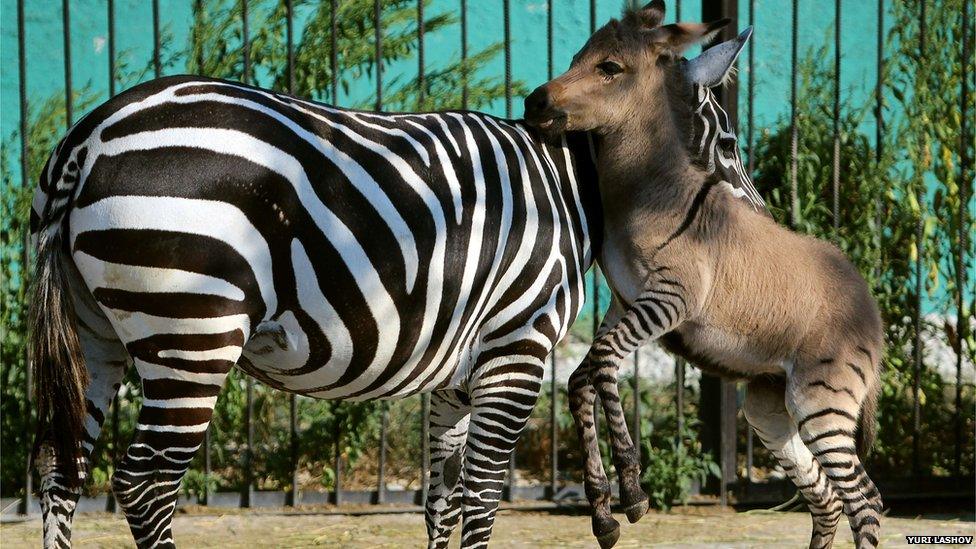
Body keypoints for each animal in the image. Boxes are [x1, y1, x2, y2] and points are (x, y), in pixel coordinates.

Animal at [528, 4, 884, 548]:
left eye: (609, 68)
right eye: (574, 59)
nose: (533, 101)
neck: (649, 188)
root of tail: (873, 312)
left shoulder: (670, 298)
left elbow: (604, 363)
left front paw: (632, 488)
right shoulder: (623, 301)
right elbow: (581, 378)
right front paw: (605, 509)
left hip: (823, 401)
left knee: (865, 502)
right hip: (771, 406)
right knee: (826, 499)